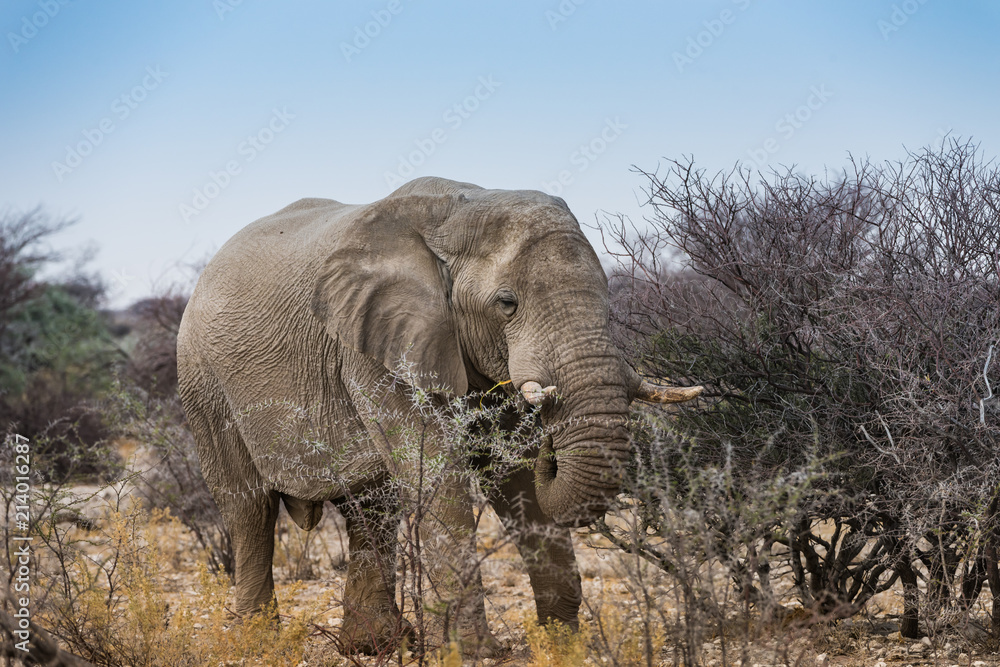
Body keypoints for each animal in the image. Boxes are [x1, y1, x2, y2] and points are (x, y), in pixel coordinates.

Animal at [175, 176, 701, 656]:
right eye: (506, 303)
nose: (552, 440)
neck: (458, 211)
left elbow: (510, 473)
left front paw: (562, 643)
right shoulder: (370, 347)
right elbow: (437, 473)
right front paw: (475, 652)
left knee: (373, 509)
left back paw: (375, 645)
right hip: (202, 381)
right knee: (249, 507)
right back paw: (257, 640)